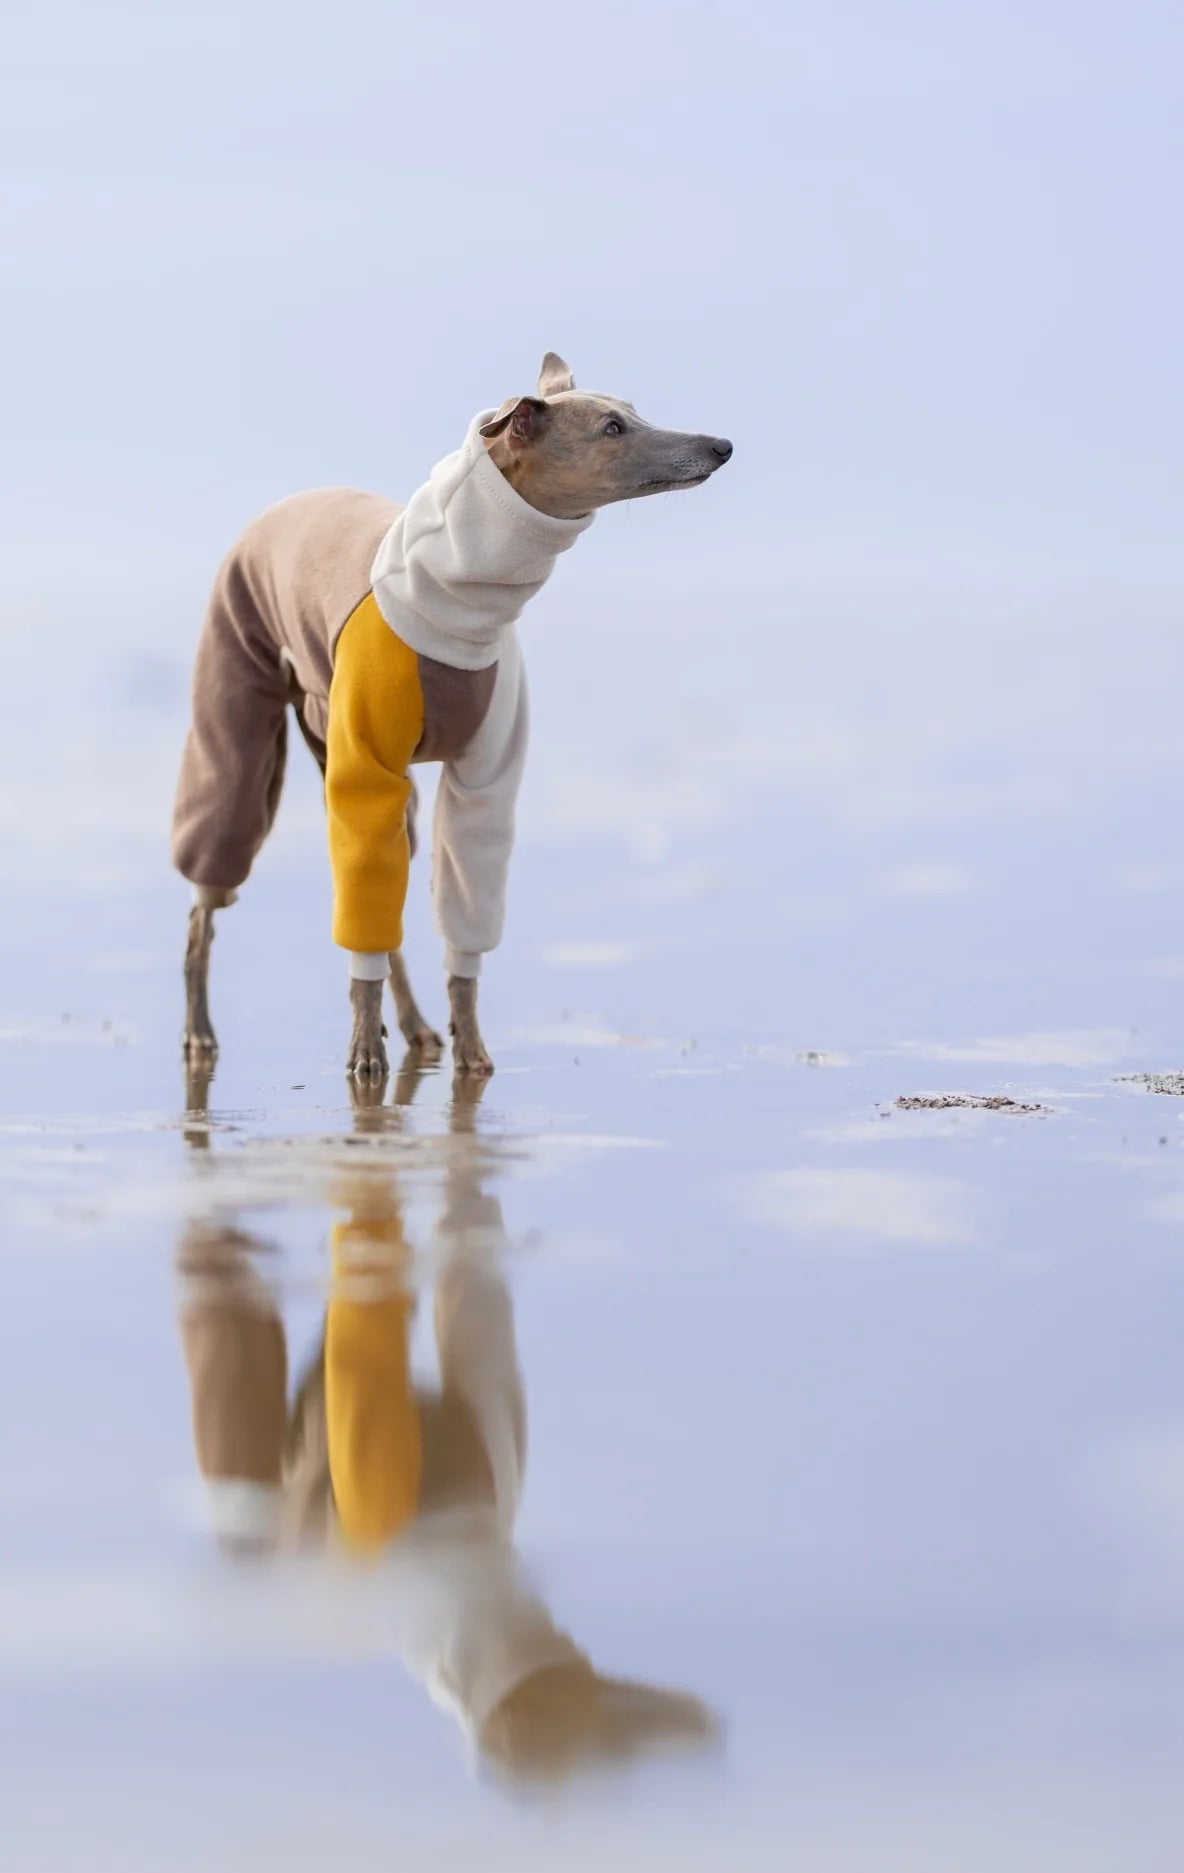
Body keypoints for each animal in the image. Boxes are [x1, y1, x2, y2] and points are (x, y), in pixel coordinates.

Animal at [174, 353, 730, 1086]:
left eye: (635, 412)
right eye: (612, 427)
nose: (722, 446)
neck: (457, 602)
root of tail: (279, 508)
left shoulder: (486, 776)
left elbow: (462, 927)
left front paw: (468, 1049)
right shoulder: (365, 768)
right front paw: (364, 1049)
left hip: (367, 775)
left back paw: (413, 1028)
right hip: (240, 720)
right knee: (204, 909)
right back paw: (201, 1031)